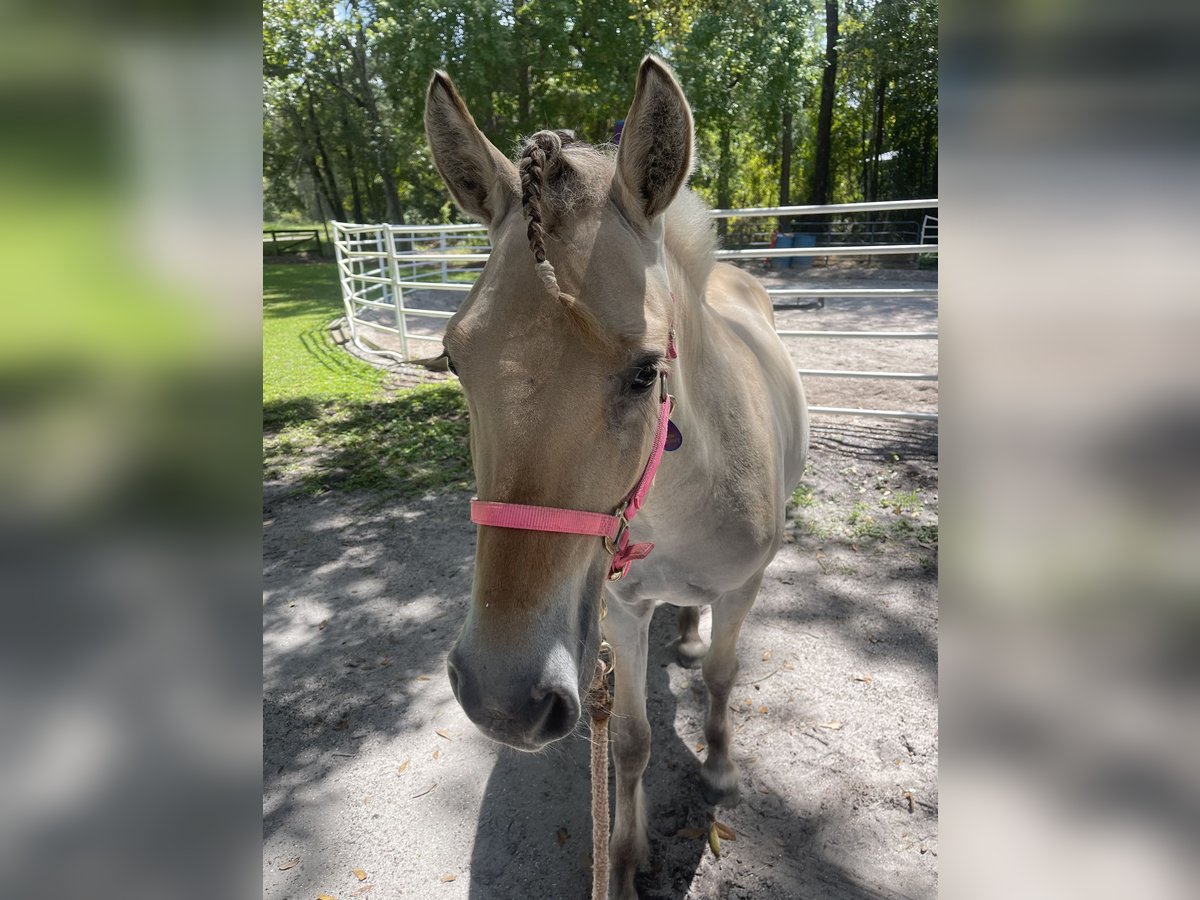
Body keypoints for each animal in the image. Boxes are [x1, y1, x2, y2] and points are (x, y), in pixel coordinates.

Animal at [425, 56, 808, 899]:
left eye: (645, 371)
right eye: (455, 360)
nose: (502, 697)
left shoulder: (744, 588)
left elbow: (724, 677)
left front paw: (722, 769)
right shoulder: (622, 611)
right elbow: (629, 741)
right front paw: (625, 861)